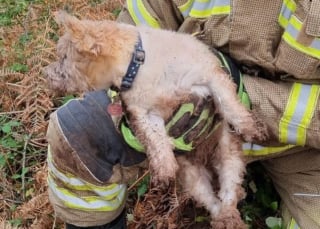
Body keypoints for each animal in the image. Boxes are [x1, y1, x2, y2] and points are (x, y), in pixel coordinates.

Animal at [43, 11, 266, 229]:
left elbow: (228, 102)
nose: (46, 75)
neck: (138, 67)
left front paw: (251, 128)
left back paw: (231, 217)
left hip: (230, 154)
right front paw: (164, 169)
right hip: (193, 178)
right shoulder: (146, 115)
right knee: (213, 202)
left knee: (229, 192)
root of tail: (205, 157)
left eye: (63, 57)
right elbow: (156, 140)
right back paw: (225, 220)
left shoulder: (210, 76)